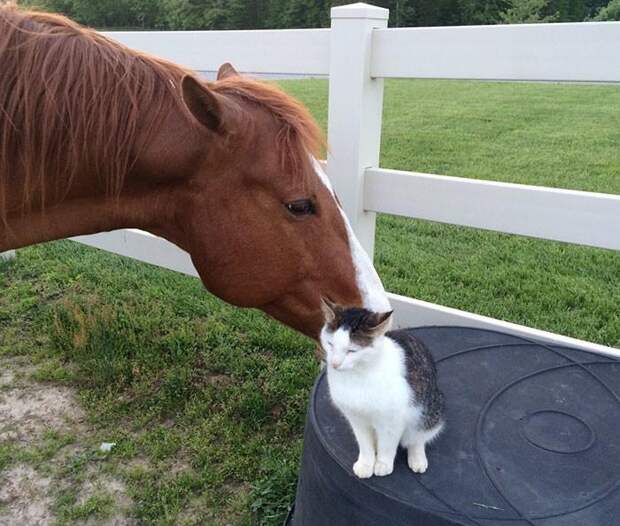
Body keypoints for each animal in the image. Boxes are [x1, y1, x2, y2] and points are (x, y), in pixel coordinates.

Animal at [320, 300, 446, 480]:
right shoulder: (356, 419)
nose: (334, 364)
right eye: (330, 344)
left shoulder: (392, 420)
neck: (358, 375)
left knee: (417, 437)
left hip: (429, 410)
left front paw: (383, 464)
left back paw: (417, 457)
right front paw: (366, 464)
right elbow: (364, 444)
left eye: (351, 350)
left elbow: (387, 445)